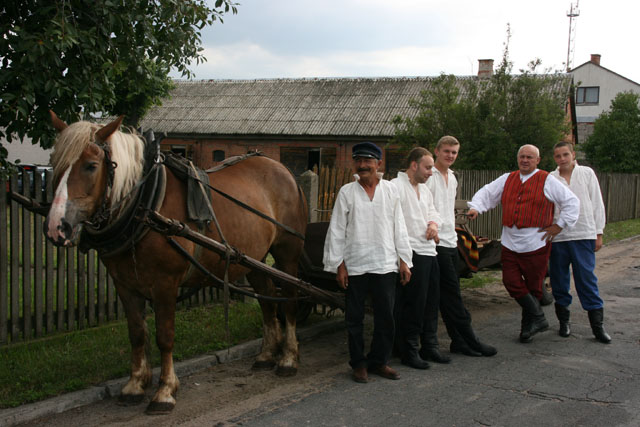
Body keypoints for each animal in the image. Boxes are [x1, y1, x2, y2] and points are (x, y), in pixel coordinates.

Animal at [44, 112, 308, 414]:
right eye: (55, 162)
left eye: (90, 166)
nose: (56, 227)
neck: (145, 206)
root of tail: (284, 170)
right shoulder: (125, 284)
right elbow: (137, 333)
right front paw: (135, 385)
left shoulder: (165, 284)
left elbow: (164, 336)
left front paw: (165, 391)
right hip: (253, 259)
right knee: (266, 298)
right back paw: (266, 354)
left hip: (287, 252)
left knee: (289, 299)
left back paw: (288, 358)